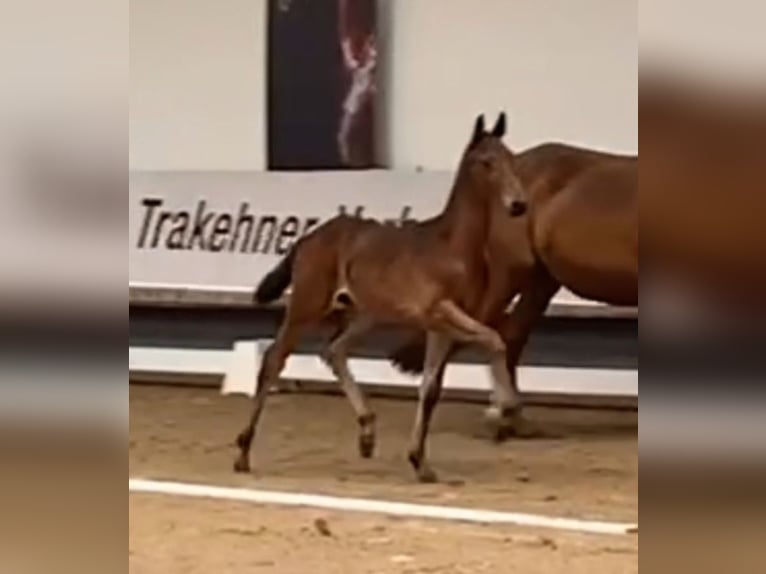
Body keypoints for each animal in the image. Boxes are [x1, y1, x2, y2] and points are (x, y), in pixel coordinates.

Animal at [237, 112, 532, 482]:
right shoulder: (440, 312)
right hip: (307, 306)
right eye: (486, 162)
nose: (518, 204)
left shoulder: (442, 326)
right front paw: (506, 405)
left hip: (367, 315)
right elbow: (494, 339)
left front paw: (420, 463)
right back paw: (243, 453)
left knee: (334, 351)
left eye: (512, 159)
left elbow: (431, 388)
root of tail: (307, 239)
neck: (453, 247)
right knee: (274, 360)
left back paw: (367, 432)